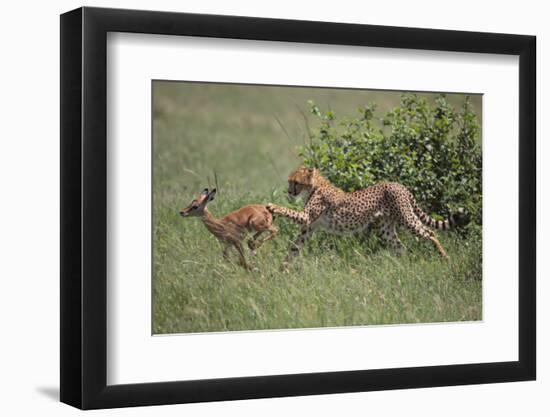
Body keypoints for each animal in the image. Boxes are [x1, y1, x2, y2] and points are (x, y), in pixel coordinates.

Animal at [268, 164, 470, 268]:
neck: (315, 186)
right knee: (401, 247)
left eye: (295, 182)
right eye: (290, 182)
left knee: (430, 233)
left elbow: (289, 212)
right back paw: (401, 267)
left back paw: (444, 256)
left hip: (406, 218)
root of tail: (399, 185)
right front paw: (282, 270)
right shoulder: (309, 227)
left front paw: (272, 207)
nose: (289, 191)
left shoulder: (306, 218)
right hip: (385, 228)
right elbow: (294, 248)